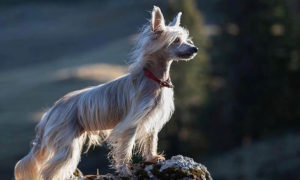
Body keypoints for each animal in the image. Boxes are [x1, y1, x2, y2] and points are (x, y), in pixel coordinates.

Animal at [14, 5, 198, 180]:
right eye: (176, 40)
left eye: (185, 39)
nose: (195, 49)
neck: (153, 78)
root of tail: (50, 112)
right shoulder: (130, 124)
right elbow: (125, 149)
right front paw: (125, 171)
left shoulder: (152, 119)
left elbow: (151, 141)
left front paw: (152, 157)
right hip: (66, 144)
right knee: (49, 171)